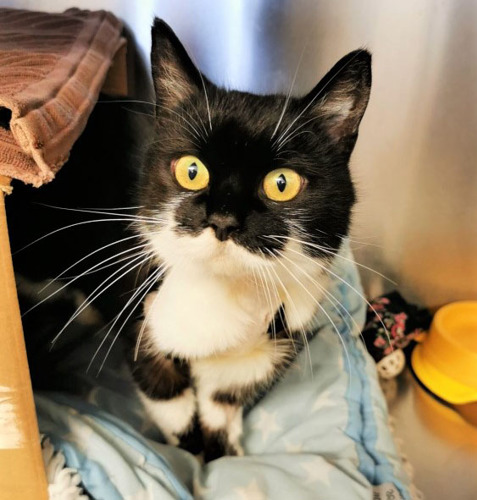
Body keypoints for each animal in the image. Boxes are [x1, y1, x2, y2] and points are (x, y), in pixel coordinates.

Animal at [127, 19, 372, 462]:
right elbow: (166, 393)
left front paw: (222, 452)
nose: (223, 221)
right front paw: (191, 455)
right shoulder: (142, 307)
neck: (224, 293)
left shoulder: (277, 333)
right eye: (191, 170)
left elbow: (223, 400)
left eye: (282, 183)